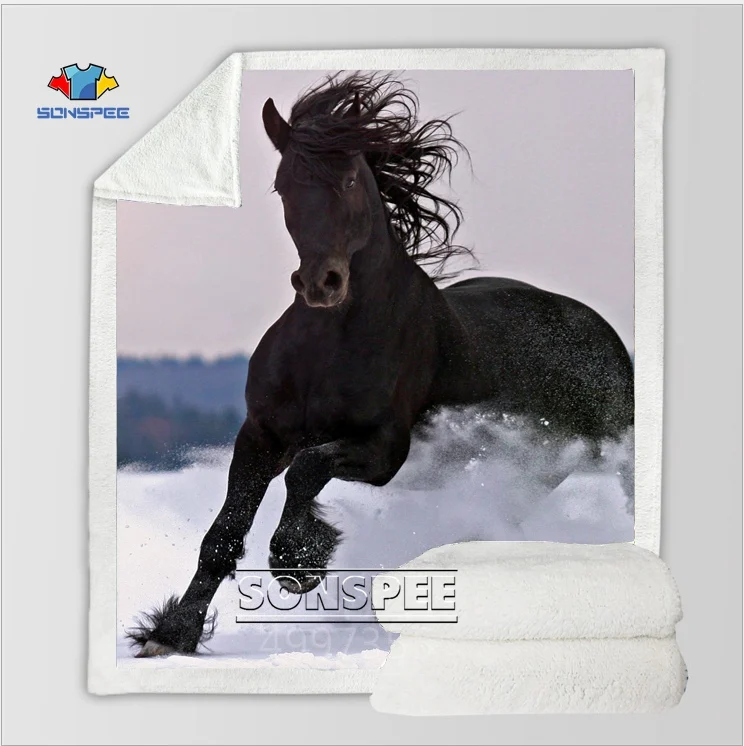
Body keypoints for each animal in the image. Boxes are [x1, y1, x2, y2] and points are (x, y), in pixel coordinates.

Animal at [129, 72, 634, 657]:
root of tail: (602, 331)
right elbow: (224, 533)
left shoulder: (385, 448)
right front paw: (170, 634)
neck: (328, 347)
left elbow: (307, 471)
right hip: (530, 471)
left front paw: (297, 560)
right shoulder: (260, 436)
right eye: (282, 186)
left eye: (349, 179)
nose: (321, 283)